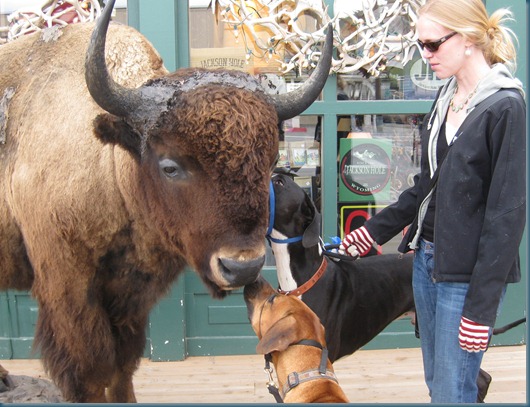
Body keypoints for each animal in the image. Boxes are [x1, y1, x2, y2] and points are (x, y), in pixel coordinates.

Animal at [0, 0, 330, 402]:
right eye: (170, 166)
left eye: (270, 163)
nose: (243, 268)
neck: (112, 162)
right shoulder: (69, 290)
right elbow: (92, 372)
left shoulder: (130, 297)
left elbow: (123, 365)